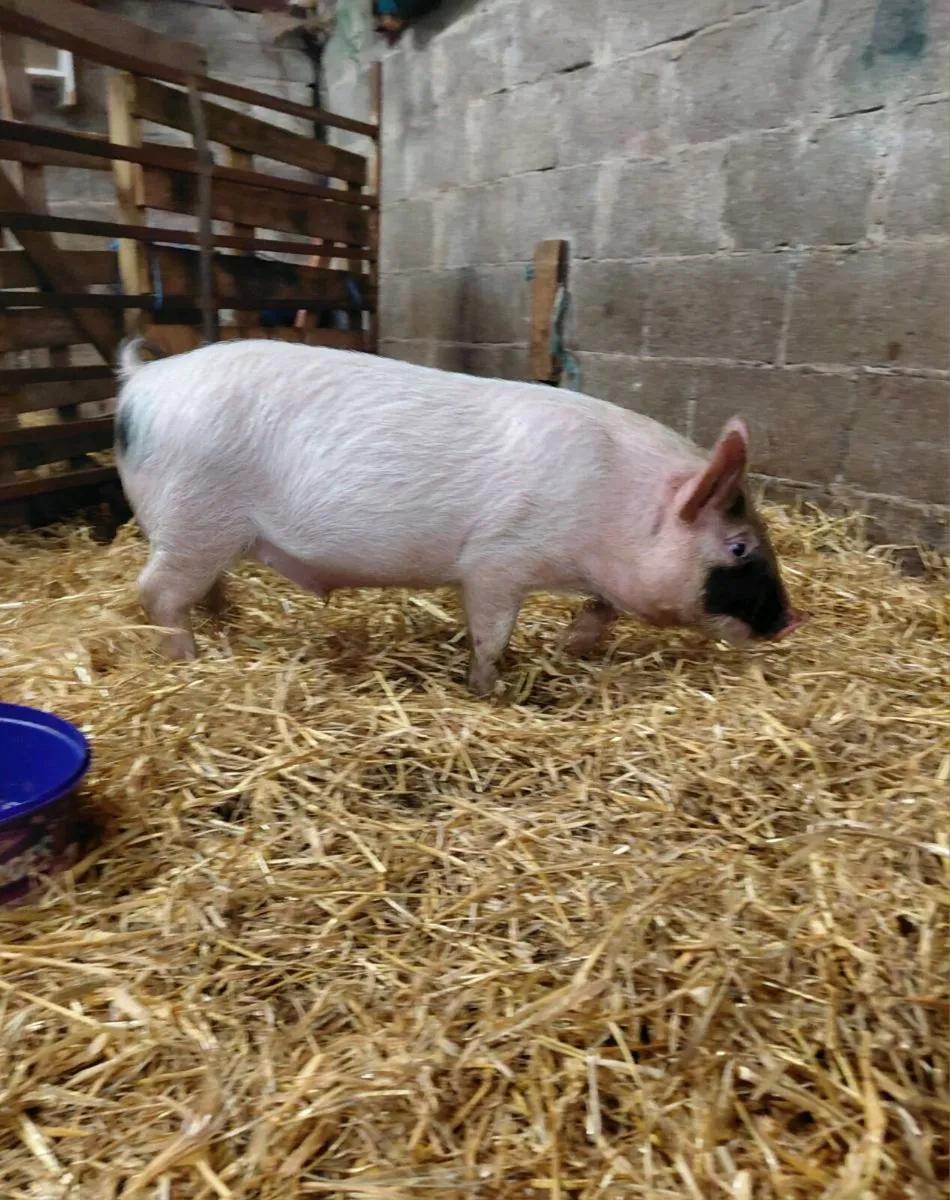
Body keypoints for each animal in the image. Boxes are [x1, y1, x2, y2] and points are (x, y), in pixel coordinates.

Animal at [114, 337, 803, 695]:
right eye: (739, 547)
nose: (791, 621)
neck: (616, 506)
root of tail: (142, 382)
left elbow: (599, 610)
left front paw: (570, 649)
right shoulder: (496, 560)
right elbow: (491, 634)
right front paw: (488, 690)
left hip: (204, 531)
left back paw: (226, 623)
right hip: (193, 519)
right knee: (154, 591)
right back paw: (188, 660)